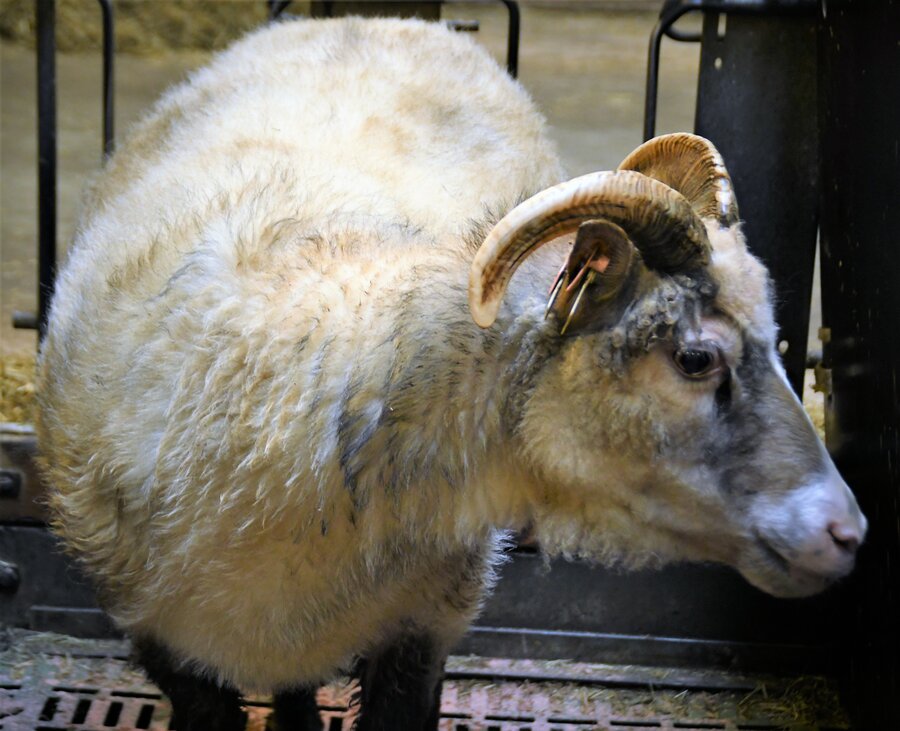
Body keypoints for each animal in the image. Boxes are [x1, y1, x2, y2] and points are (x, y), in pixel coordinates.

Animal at [35, 14, 864, 731]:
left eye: (779, 340)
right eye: (695, 357)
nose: (847, 531)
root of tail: (386, 18)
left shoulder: (423, 627)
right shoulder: (161, 640)